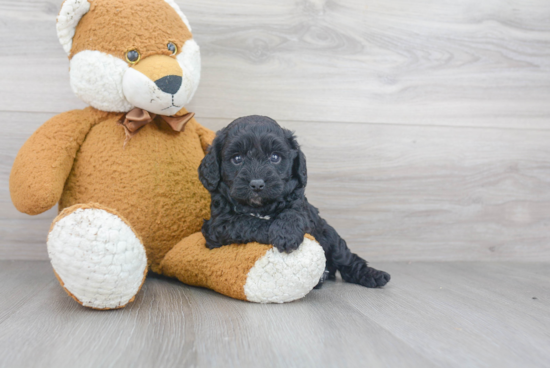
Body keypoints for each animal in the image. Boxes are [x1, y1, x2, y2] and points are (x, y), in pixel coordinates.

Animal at [198, 115, 392, 288]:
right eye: (237, 159)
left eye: (275, 157)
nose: (257, 184)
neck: (261, 207)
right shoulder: (217, 225)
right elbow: (246, 221)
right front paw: (279, 234)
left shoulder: (301, 204)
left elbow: (294, 212)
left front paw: (287, 233)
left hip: (330, 236)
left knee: (347, 259)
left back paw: (374, 276)